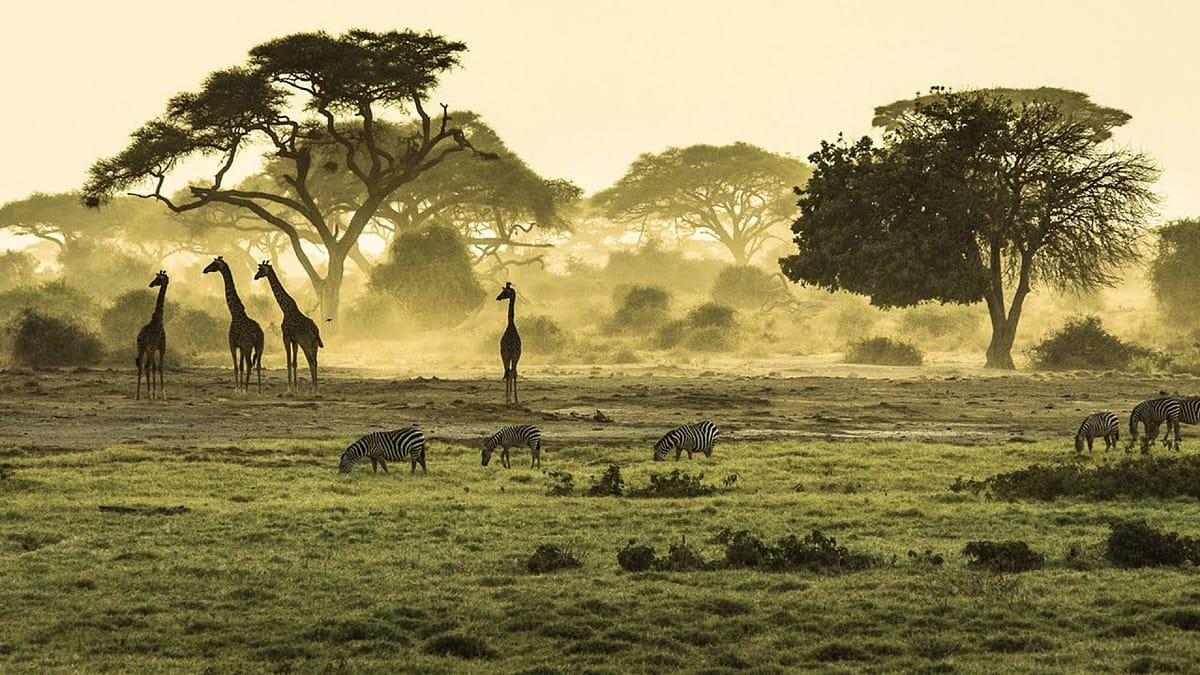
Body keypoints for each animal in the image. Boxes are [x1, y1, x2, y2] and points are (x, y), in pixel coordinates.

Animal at [134, 269, 168, 398]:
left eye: (158, 279)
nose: (151, 284)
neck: (159, 318)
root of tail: (140, 337)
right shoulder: (160, 347)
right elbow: (160, 367)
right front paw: (162, 394)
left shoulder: (153, 349)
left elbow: (154, 367)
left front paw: (155, 393)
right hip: (148, 348)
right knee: (146, 366)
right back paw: (147, 394)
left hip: (141, 347)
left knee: (141, 366)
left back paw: (138, 395)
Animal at [202, 257, 264, 393]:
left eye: (213, 264)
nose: (205, 270)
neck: (235, 313)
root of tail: (258, 333)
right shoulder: (240, 346)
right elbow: (240, 366)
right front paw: (239, 388)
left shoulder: (233, 344)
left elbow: (236, 366)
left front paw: (237, 389)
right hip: (260, 346)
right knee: (257, 365)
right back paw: (258, 390)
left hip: (248, 346)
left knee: (250, 364)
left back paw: (247, 389)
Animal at [254, 257, 324, 393]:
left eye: (261, 269)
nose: (255, 276)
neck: (285, 308)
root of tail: (316, 331)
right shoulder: (294, 340)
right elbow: (294, 362)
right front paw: (295, 388)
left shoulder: (285, 336)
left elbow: (288, 362)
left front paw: (289, 388)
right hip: (315, 345)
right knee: (315, 361)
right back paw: (316, 388)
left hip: (306, 343)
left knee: (311, 361)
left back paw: (314, 389)